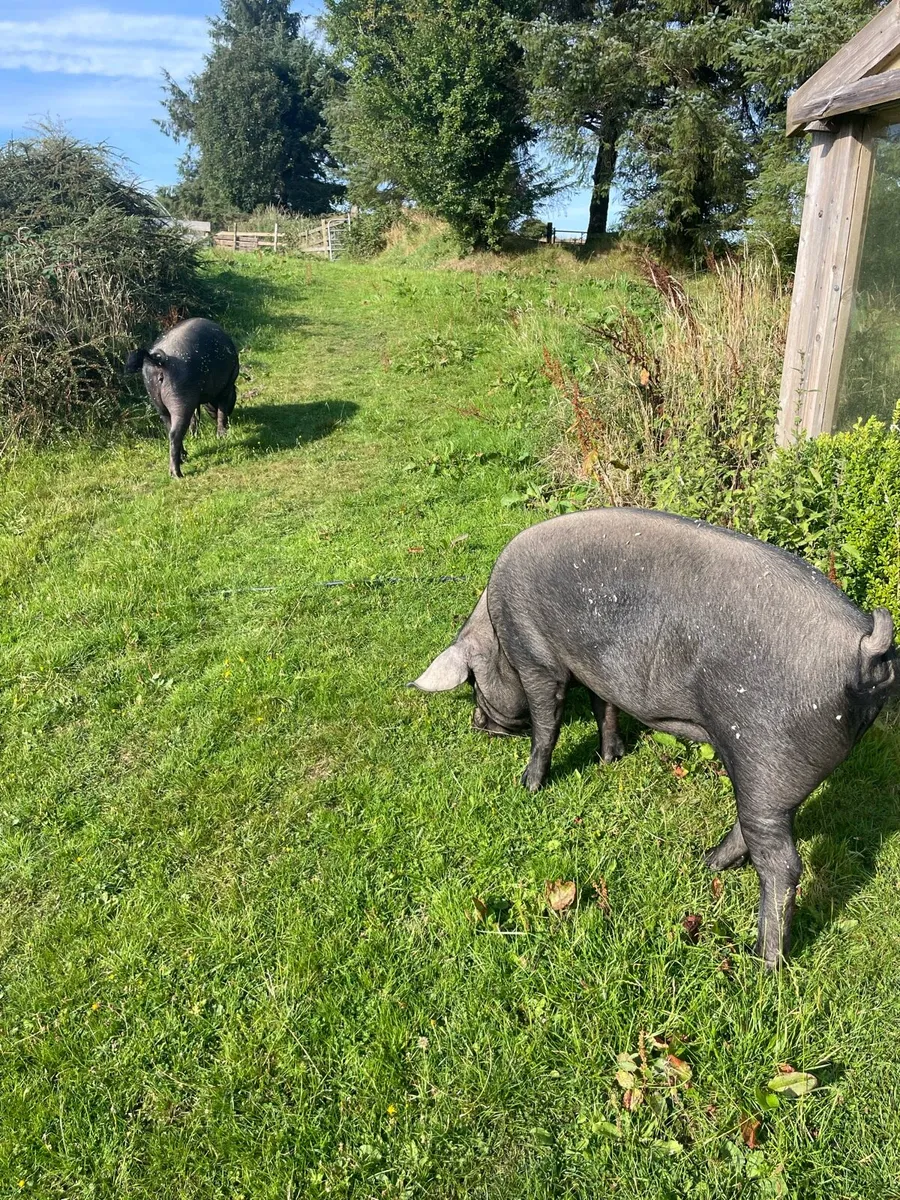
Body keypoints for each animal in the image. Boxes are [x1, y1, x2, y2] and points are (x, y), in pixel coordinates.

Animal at [125, 317, 239, 478]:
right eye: (234, 396)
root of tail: (158, 360)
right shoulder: (227, 386)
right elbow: (221, 411)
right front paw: (222, 435)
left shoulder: (194, 400)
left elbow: (195, 416)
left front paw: (195, 435)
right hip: (180, 399)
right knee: (175, 434)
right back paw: (177, 474)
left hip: (159, 403)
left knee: (169, 429)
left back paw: (184, 457)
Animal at [412, 507, 898, 968]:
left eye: (474, 682)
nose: (477, 723)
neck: (495, 627)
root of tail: (865, 649)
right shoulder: (597, 670)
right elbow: (603, 707)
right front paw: (610, 758)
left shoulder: (536, 658)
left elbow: (547, 719)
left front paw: (529, 785)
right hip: (773, 777)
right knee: (755, 828)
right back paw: (705, 863)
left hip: (765, 755)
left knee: (782, 864)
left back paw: (761, 963)